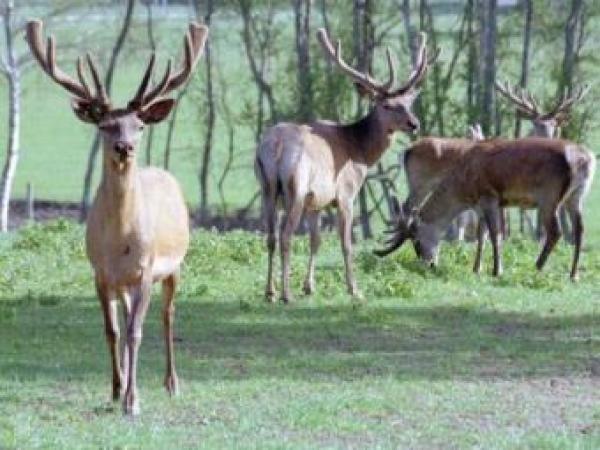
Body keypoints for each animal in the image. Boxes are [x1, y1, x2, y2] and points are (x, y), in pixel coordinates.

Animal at [25, 20, 209, 414]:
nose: (125, 147)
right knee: (126, 320)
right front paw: (115, 388)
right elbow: (112, 331)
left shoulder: (146, 269)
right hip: (125, 283)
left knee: (167, 317)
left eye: (139, 125)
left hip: (174, 266)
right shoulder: (100, 273)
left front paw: (132, 400)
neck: (120, 240)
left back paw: (172, 383)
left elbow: (137, 332)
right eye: (105, 125)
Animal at [253, 27, 436, 302]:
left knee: (271, 237)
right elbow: (346, 243)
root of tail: (275, 147)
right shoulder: (346, 194)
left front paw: (309, 286)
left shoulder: (315, 202)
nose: (414, 123)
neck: (359, 153)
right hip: (296, 186)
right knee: (285, 236)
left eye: (408, 103)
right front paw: (354, 289)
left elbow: (316, 240)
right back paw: (286, 294)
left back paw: (270, 291)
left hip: (267, 188)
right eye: (386, 105)